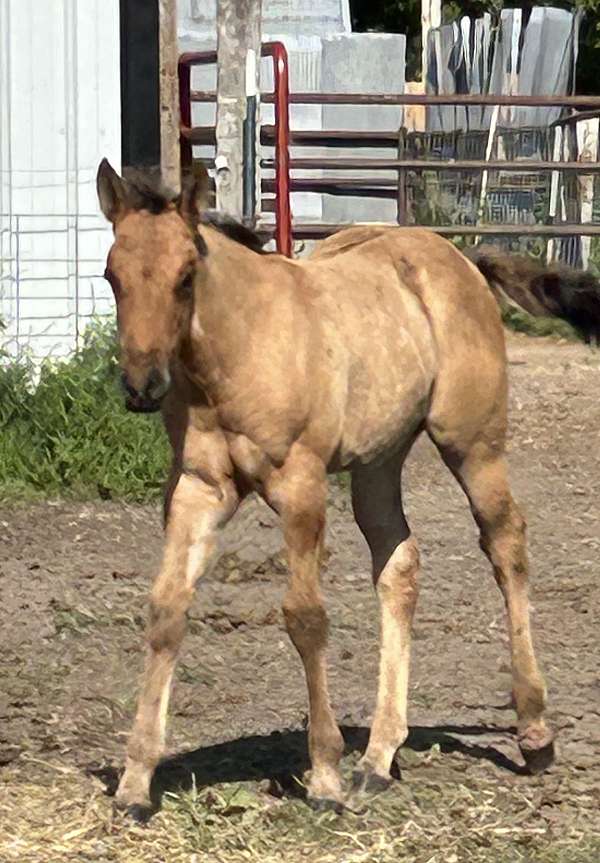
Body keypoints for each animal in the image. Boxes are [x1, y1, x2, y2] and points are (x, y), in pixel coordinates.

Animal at [96, 158, 554, 820]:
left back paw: (535, 732)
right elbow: (166, 609)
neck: (237, 350)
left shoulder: (301, 487)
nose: (141, 386)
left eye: (186, 277)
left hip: (474, 444)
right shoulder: (198, 490)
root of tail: (457, 257)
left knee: (506, 545)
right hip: (379, 460)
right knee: (399, 565)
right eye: (112, 276)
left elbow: (305, 617)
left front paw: (324, 776)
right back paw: (379, 758)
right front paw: (135, 783)